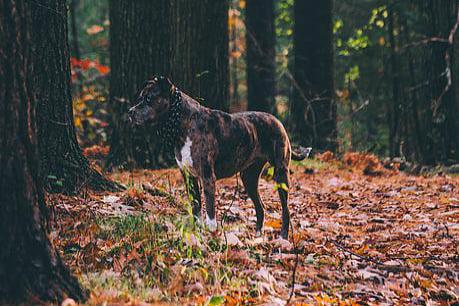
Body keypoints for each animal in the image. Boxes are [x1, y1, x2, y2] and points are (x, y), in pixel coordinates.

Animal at [127, 76, 310, 239]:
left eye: (149, 98)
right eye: (140, 98)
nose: (130, 112)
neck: (182, 122)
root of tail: (278, 121)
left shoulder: (207, 177)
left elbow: (209, 210)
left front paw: (211, 232)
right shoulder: (189, 177)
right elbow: (196, 207)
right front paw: (197, 232)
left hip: (281, 174)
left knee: (286, 209)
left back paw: (283, 237)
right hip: (249, 178)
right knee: (261, 207)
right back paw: (258, 235)